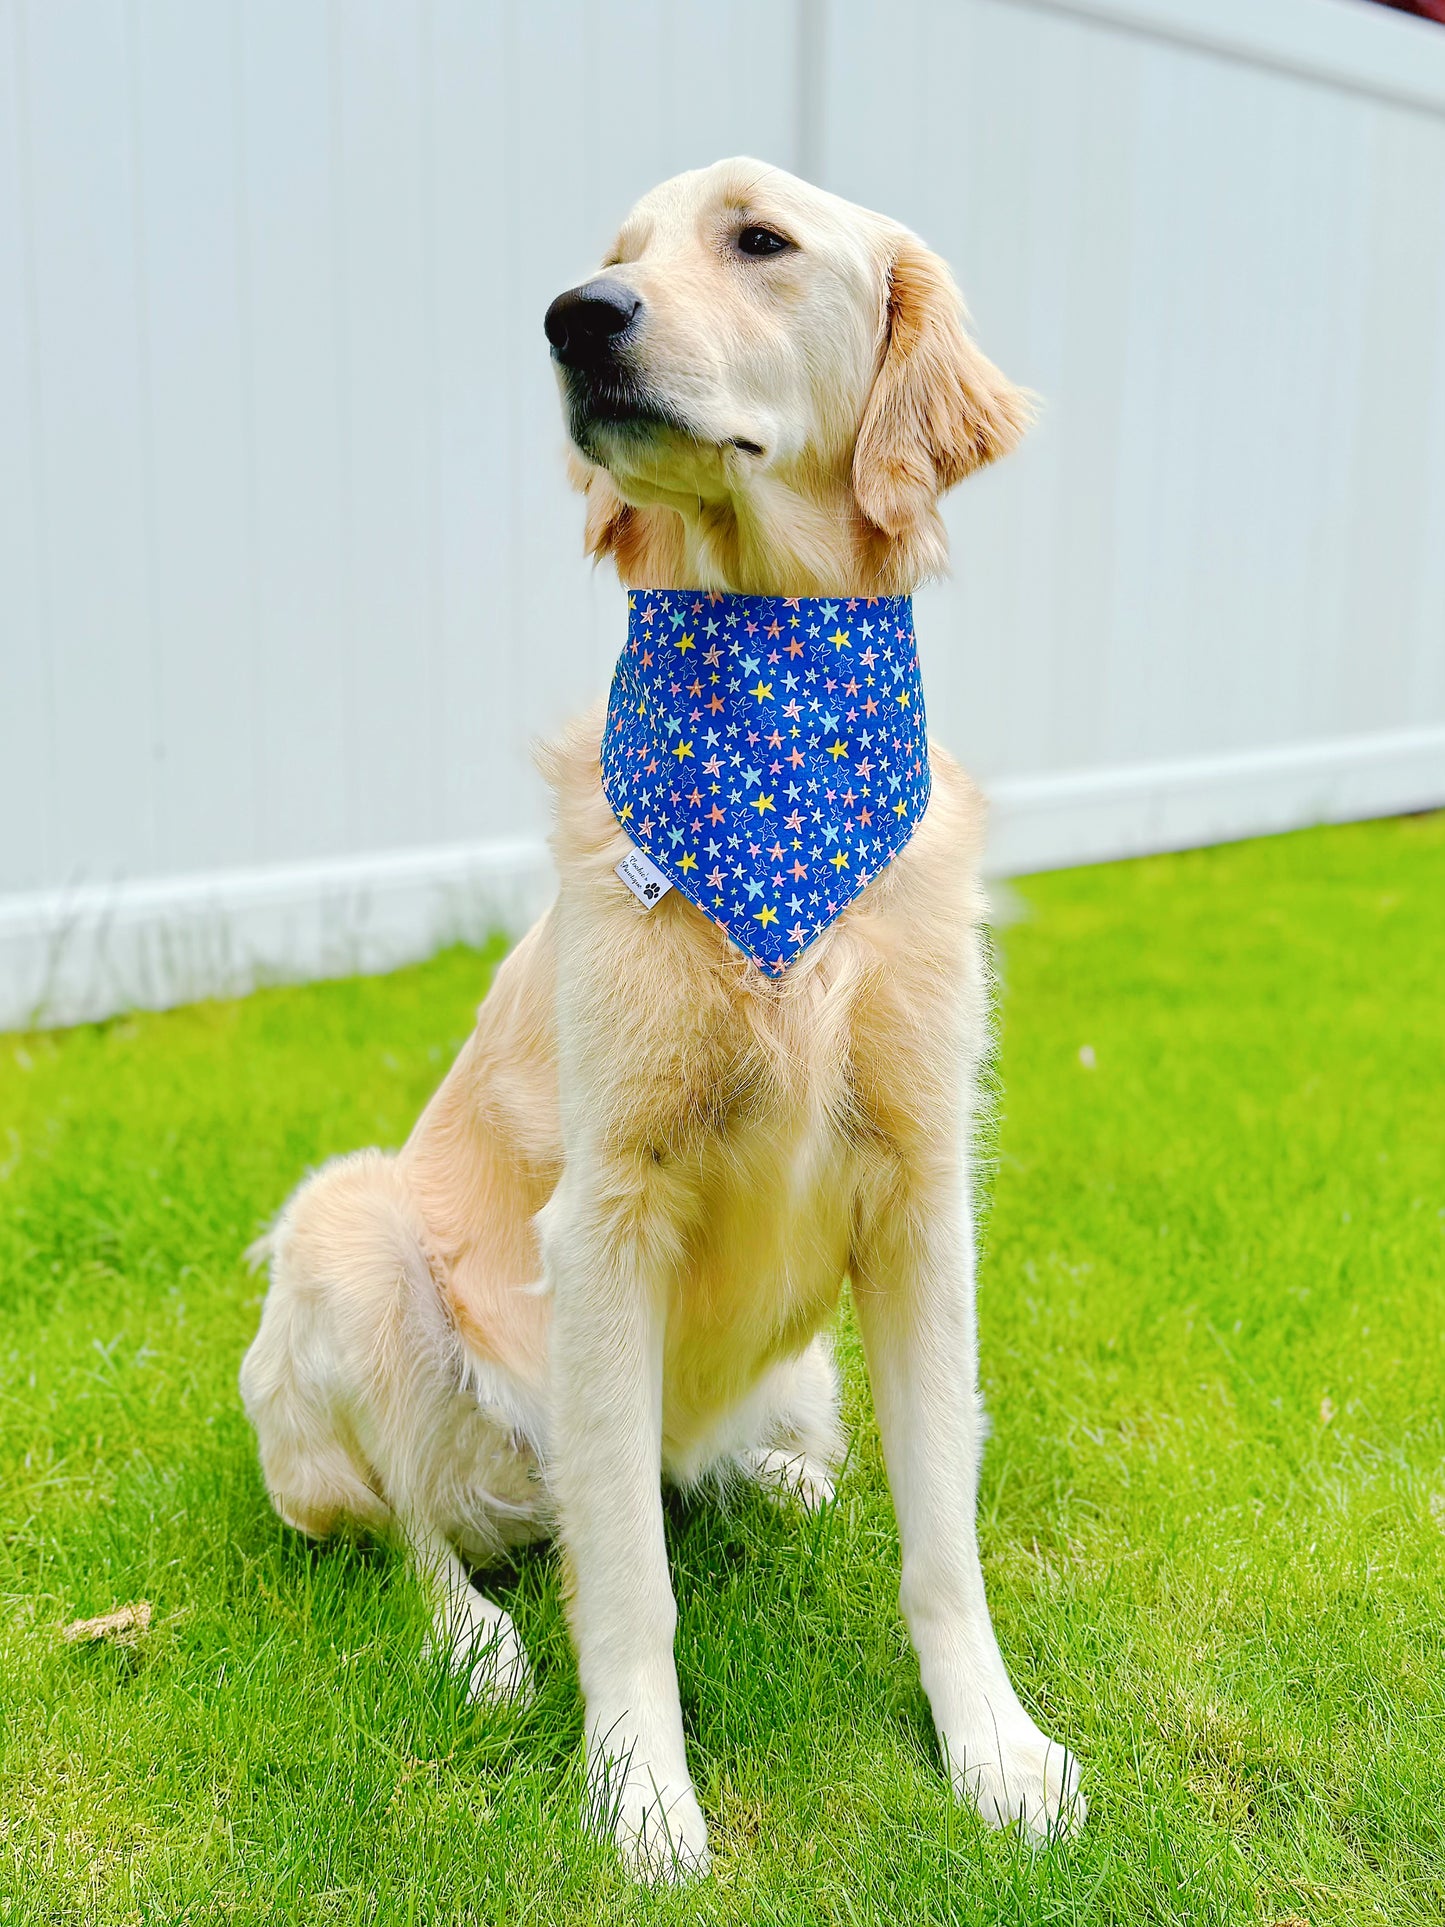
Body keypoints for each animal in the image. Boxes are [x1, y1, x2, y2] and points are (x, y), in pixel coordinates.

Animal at [243, 154, 1086, 1880]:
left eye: (759, 241)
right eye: (614, 254)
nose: (576, 317)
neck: (771, 705)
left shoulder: (923, 1195)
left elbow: (943, 1538)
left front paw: (992, 1748)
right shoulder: (606, 1215)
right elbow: (628, 1575)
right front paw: (638, 1790)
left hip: (805, 1366)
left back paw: (777, 1476)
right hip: (347, 1239)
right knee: (424, 1524)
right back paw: (475, 1638)